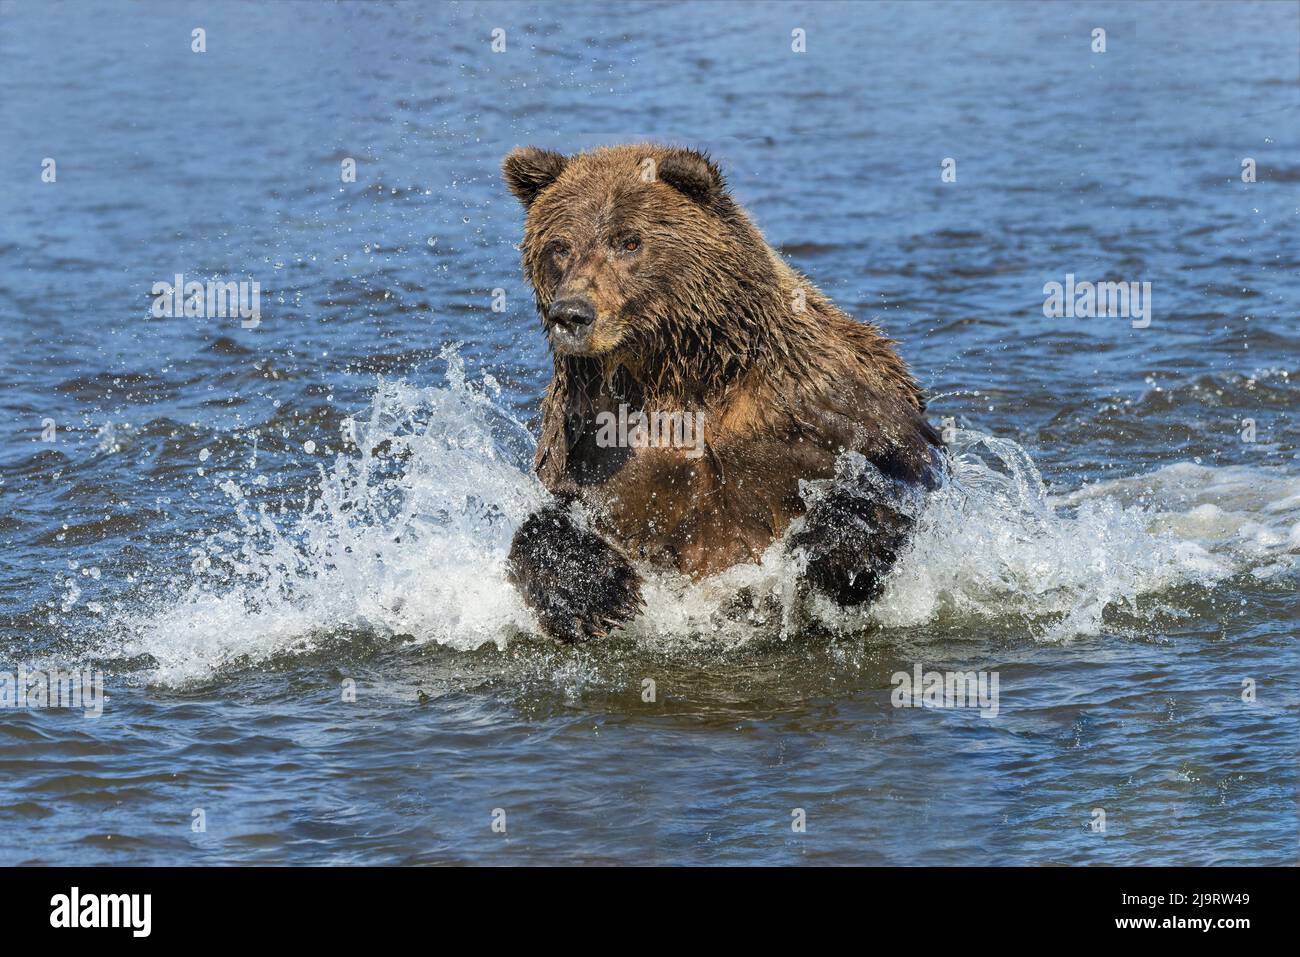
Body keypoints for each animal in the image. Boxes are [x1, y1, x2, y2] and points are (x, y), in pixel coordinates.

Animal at [501, 143, 941, 642]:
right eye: (559, 246)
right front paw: (594, 595)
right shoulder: (590, 441)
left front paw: (828, 553)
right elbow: (553, 518)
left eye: (628, 241)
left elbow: (895, 468)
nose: (572, 314)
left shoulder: (816, 402)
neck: (674, 374)